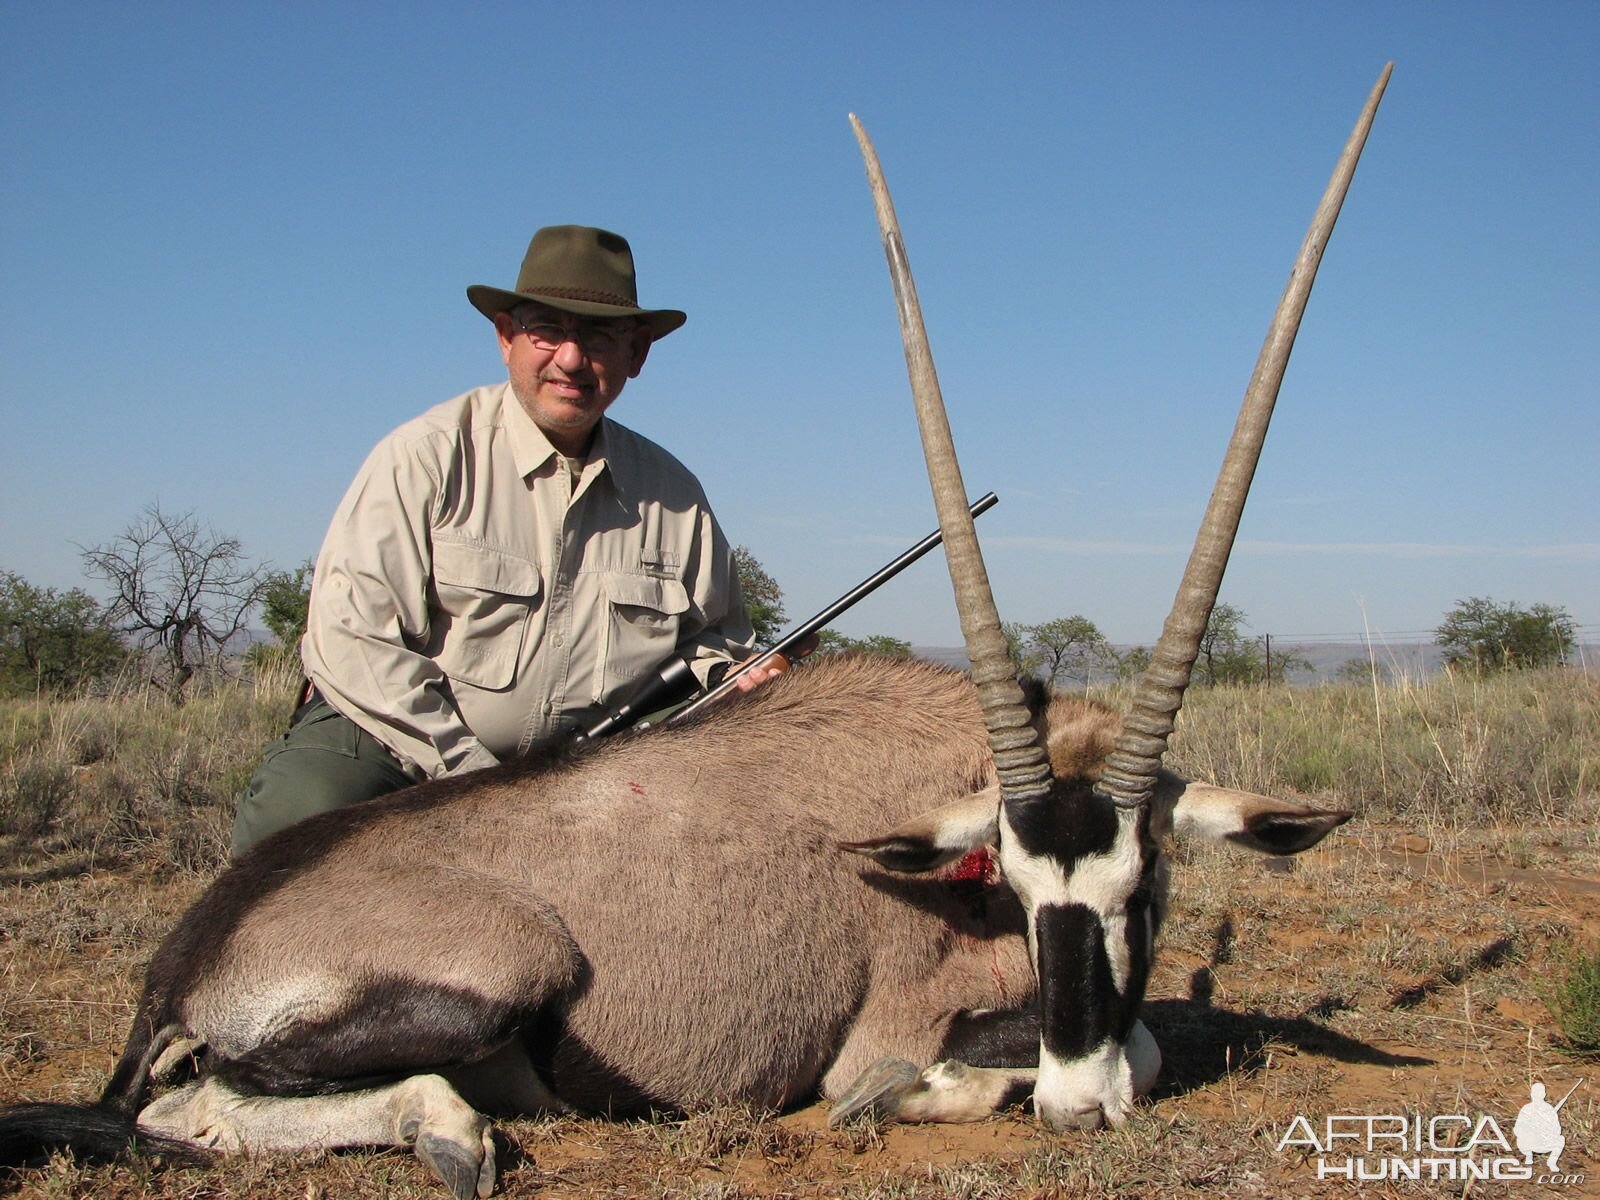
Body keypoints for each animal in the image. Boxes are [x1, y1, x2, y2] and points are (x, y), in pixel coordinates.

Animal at [0, 68, 1382, 1200]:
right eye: (1023, 891)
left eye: (1143, 888)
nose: (1074, 1109)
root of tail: (192, 952)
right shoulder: (901, 1025)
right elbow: (1091, 1048)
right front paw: (910, 1099)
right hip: (494, 980)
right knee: (187, 1109)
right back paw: (451, 1132)